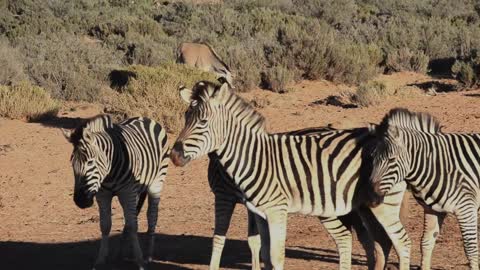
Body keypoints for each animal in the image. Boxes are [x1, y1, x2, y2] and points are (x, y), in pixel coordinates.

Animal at [62, 115, 169, 268]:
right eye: (72, 163)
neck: (110, 171)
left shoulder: (127, 192)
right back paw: (121, 252)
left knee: (151, 215)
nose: (80, 201)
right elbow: (105, 225)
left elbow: (133, 226)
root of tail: (145, 118)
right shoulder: (103, 194)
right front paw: (100, 260)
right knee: (132, 216)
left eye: (90, 162)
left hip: (157, 181)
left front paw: (140, 261)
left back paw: (148, 255)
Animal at [169, 80, 408, 270]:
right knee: (377, 242)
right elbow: (264, 253)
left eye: (203, 122)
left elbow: (274, 256)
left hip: (382, 204)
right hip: (362, 206)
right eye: (185, 117)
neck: (254, 157)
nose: (174, 156)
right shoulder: (259, 213)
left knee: (401, 242)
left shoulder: (273, 210)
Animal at [370, 108, 480, 270]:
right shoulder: (432, 209)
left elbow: (470, 249)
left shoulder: (466, 208)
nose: (371, 191)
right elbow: (426, 243)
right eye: (373, 158)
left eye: (391, 159)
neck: (438, 166)